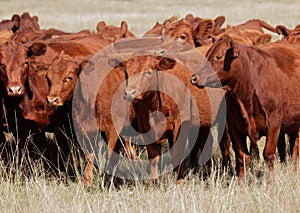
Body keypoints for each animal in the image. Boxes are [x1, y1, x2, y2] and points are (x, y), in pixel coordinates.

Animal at [191, 35, 300, 180]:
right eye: (207, 54)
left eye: (218, 56)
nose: (194, 78)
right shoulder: (235, 127)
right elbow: (242, 157)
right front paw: (241, 183)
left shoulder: (274, 124)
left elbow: (268, 155)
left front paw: (270, 181)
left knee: (294, 147)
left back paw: (293, 171)